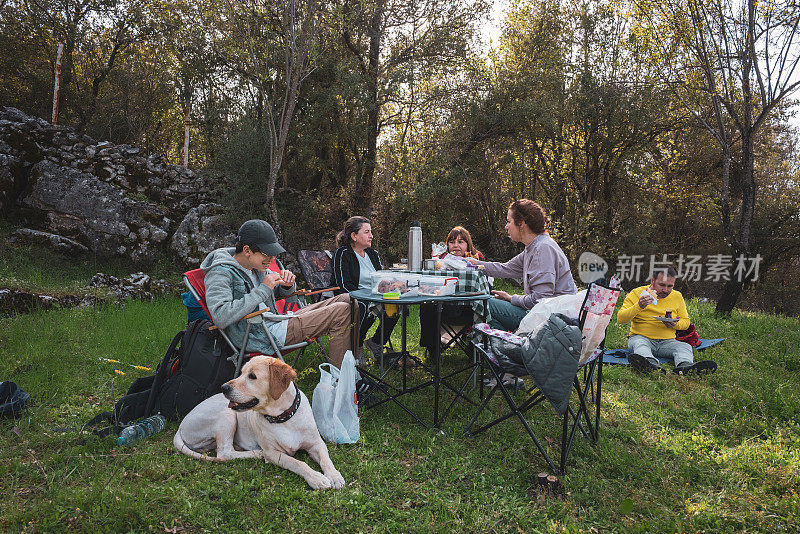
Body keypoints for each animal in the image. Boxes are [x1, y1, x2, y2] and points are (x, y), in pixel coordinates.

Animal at [173, 358, 346, 492]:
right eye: (241, 373)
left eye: (252, 376)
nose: (224, 387)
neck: (283, 417)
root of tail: (180, 426)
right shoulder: (273, 453)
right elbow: (298, 463)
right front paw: (316, 478)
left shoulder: (316, 443)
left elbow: (326, 459)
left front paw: (334, 476)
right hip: (226, 415)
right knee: (224, 453)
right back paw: (256, 453)